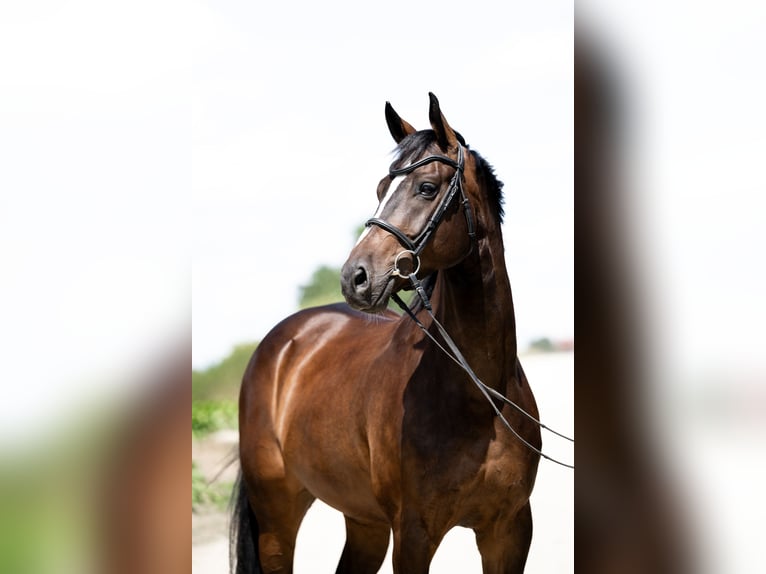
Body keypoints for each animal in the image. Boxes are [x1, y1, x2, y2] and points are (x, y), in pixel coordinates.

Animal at [231, 93, 542, 573]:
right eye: (381, 189)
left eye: (427, 188)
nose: (355, 277)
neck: (482, 395)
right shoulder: (413, 536)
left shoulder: (508, 532)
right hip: (277, 521)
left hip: (364, 522)